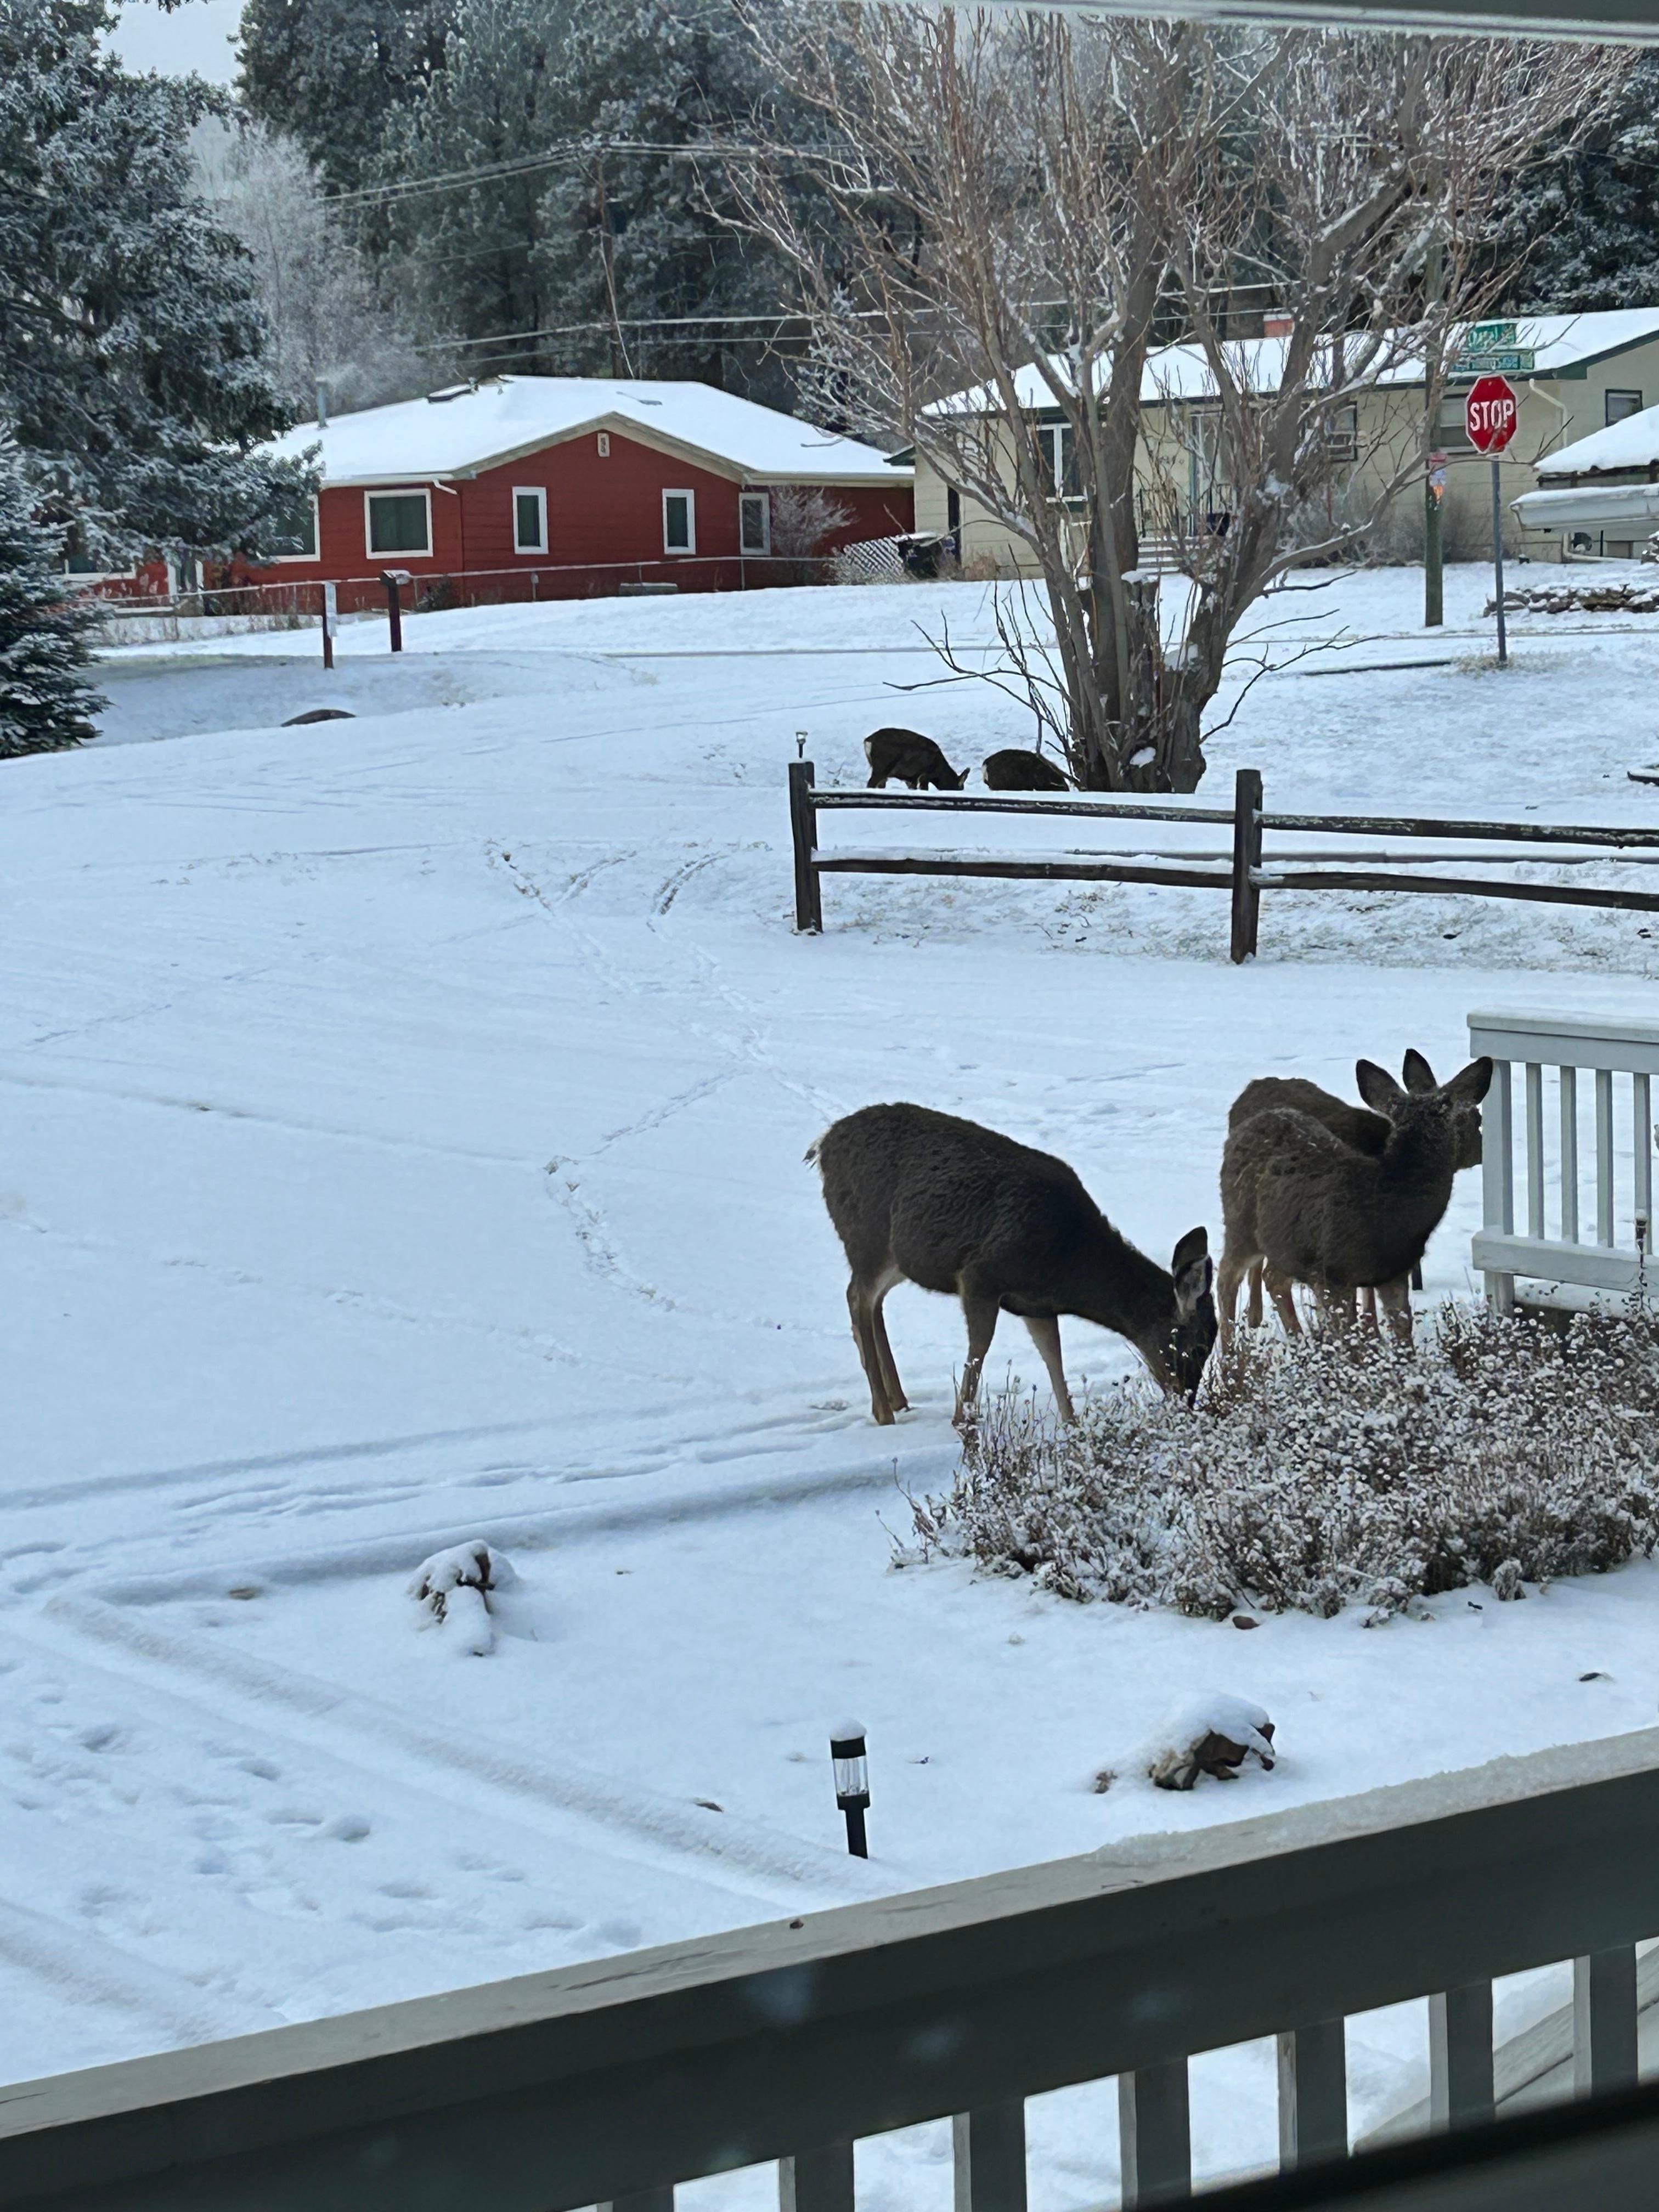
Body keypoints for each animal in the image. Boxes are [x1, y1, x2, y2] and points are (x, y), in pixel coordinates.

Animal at [810, 1102, 1215, 1428]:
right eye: (1195, 1348)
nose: (1187, 1404)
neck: (1068, 1264)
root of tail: (822, 1146)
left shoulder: (1036, 1305)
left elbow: (1054, 1359)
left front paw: (1072, 1424)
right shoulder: (979, 1276)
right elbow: (980, 1350)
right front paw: (962, 1419)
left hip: (896, 1258)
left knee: (874, 1302)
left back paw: (898, 1399)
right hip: (868, 1238)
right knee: (857, 1297)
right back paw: (883, 1411)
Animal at [863, 727, 968, 791]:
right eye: (960, 787)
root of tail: (868, 740)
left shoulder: (911, 778)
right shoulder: (924, 774)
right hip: (882, 765)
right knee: (871, 783)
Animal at [1218, 1054, 1493, 1348]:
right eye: (1476, 1118)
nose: (1482, 1151)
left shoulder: (1394, 1273)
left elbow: (1403, 1331)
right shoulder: (1331, 1275)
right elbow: (1348, 1338)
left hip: (1283, 1244)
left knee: (1271, 1279)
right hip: (1240, 1223)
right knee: (1226, 1278)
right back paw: (1230, 1354)